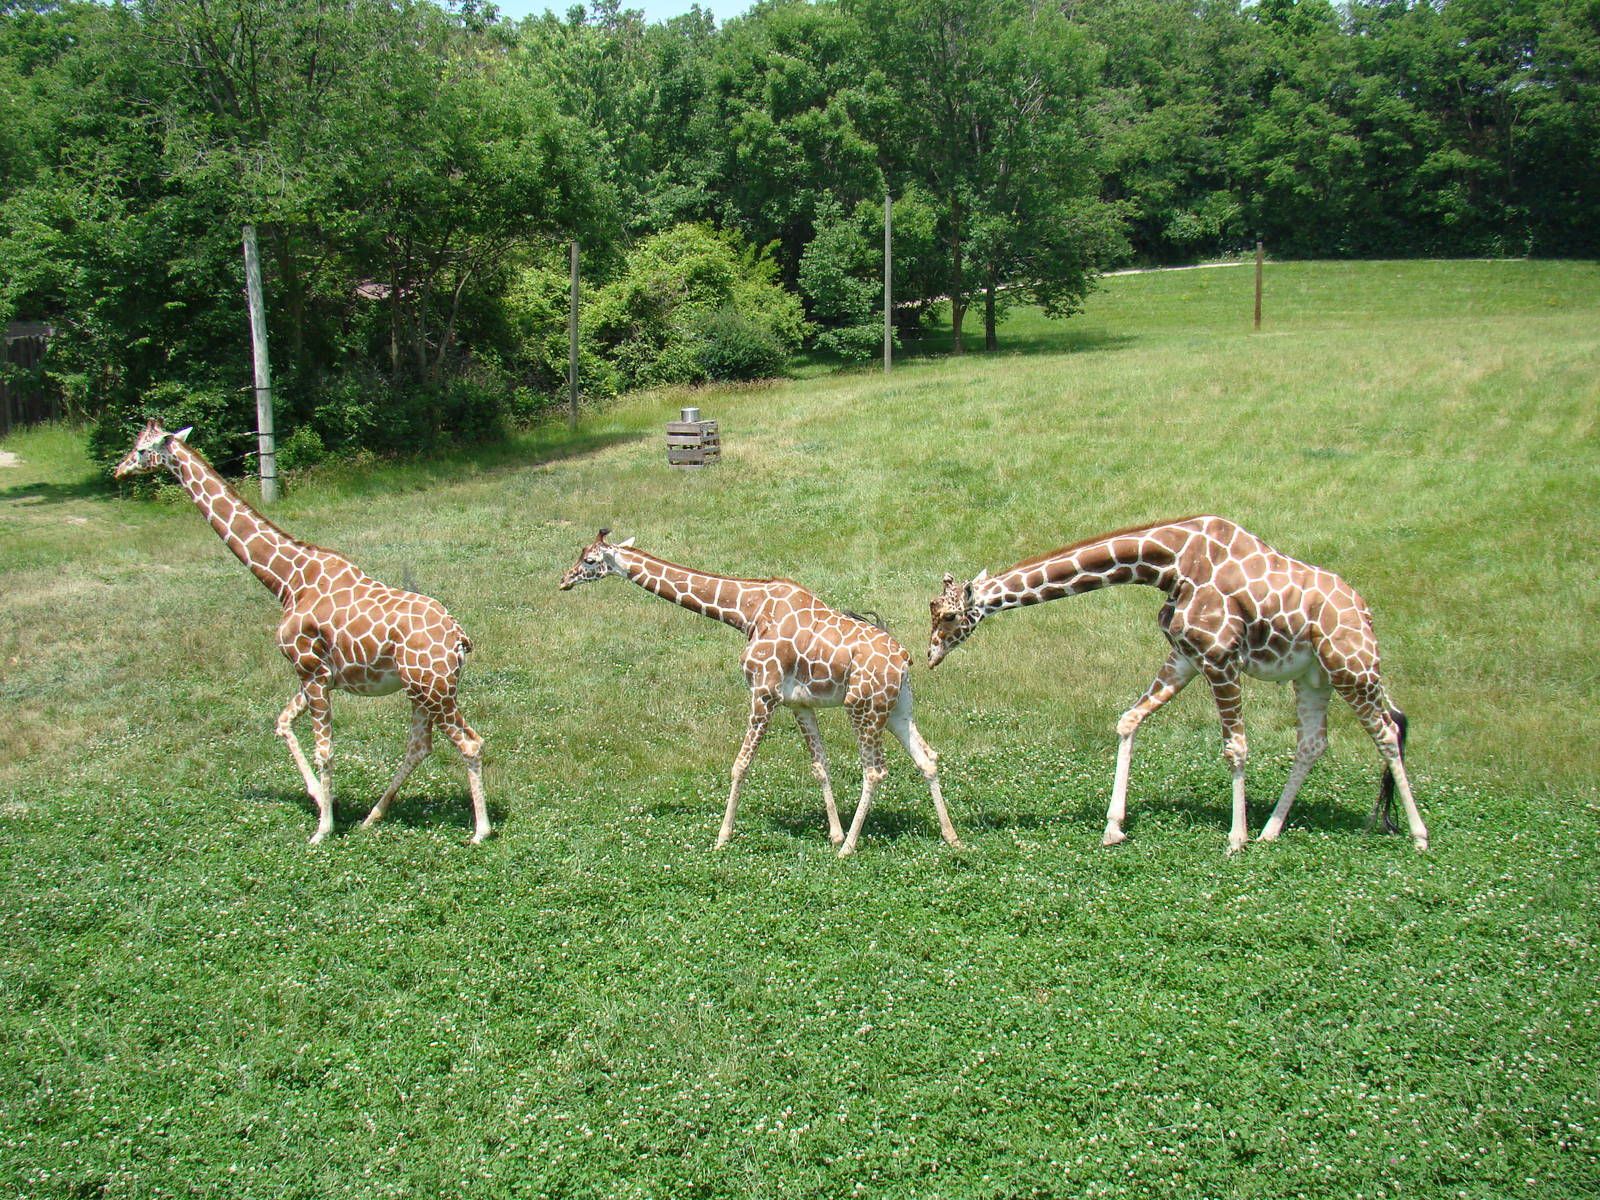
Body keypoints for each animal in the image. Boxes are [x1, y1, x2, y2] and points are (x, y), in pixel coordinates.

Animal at [113, 421, 490, 845]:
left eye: (141, 449)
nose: (119, 470)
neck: (288, 580)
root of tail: (458, 638)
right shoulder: (315, 676)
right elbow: (282, 723)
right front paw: (320, 799)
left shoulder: (310, 670)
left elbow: (324, 750)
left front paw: (322, 828)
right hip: (419, 690)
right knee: (419, 746)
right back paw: (372, 816)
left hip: (433, 688)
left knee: (469, 742)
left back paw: (480, 831)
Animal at [559, 530, 962, 856]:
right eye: (581, 555)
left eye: (590, 560)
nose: (564, 580)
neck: (746, 611)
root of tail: (905, 659)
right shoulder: (800, 703)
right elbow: (820, 766)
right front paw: (833, 832)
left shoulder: (763, 693)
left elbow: (740, 764)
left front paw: (722, 837)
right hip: (896, 709)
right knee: (927, 757)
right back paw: (951, 836)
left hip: (862, 705)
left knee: (875, 770)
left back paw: (849, 848)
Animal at [927, 515, 1427, 854]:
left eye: (948, 616)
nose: (931, 656)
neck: (1167, 565)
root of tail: (1364, 609)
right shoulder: (1185, 655)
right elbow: (1128, 720)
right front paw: (1113, 828)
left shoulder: (1220, 658)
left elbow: (1236, 747)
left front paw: (1235, 839)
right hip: (1314, 675)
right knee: (1315, 742)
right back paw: (1272, 830)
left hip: (1350, 665)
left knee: (1386, 732)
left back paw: (1418, 835)